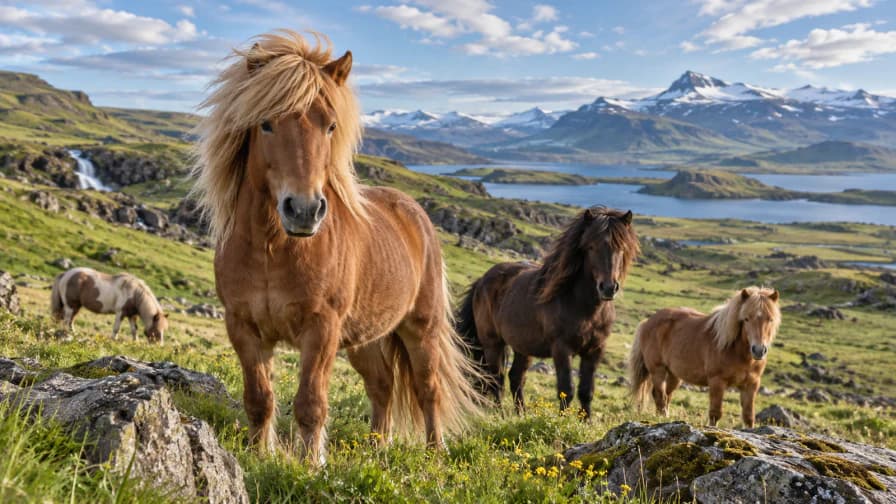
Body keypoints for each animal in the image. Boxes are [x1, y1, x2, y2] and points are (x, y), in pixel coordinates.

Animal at [190, 30, 480, 464]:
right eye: (266, 124)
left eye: (330, 126)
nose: (304, 210)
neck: (272, 251)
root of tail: (414, 213)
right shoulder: (243, 328)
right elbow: (259, 398)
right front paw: (260, 455)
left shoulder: (321, 330)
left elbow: (311, 403)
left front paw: (311, 465)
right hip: (367, 337)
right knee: (382, 386)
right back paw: (378, 450)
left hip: (420, 328)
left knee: (428, 388)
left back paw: (435, 453)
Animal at [456, 207, 639, 417]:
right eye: (591, 247)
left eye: (622, 247)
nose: (608, 288)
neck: (585, 308)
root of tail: (482, 281)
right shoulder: (561, 349)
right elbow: (566, 389)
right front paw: (563, 420)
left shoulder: (595, 350)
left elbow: (587, 391)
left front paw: (586, 420)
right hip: (492, 344)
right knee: (495, 379)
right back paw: (500, 414)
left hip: (522, 347)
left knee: (515, 377)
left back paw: (521, 414)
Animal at [629, 286, 781, 428]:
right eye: (746, 319)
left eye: (770, 319)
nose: (759, 350)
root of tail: (647, 321)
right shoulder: (717, 382)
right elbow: (715, 414)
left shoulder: (751, 384)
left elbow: (749, 417)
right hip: (658, 370)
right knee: (660, 395)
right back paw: (662, 418)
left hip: (674, 375)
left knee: (666, 395)